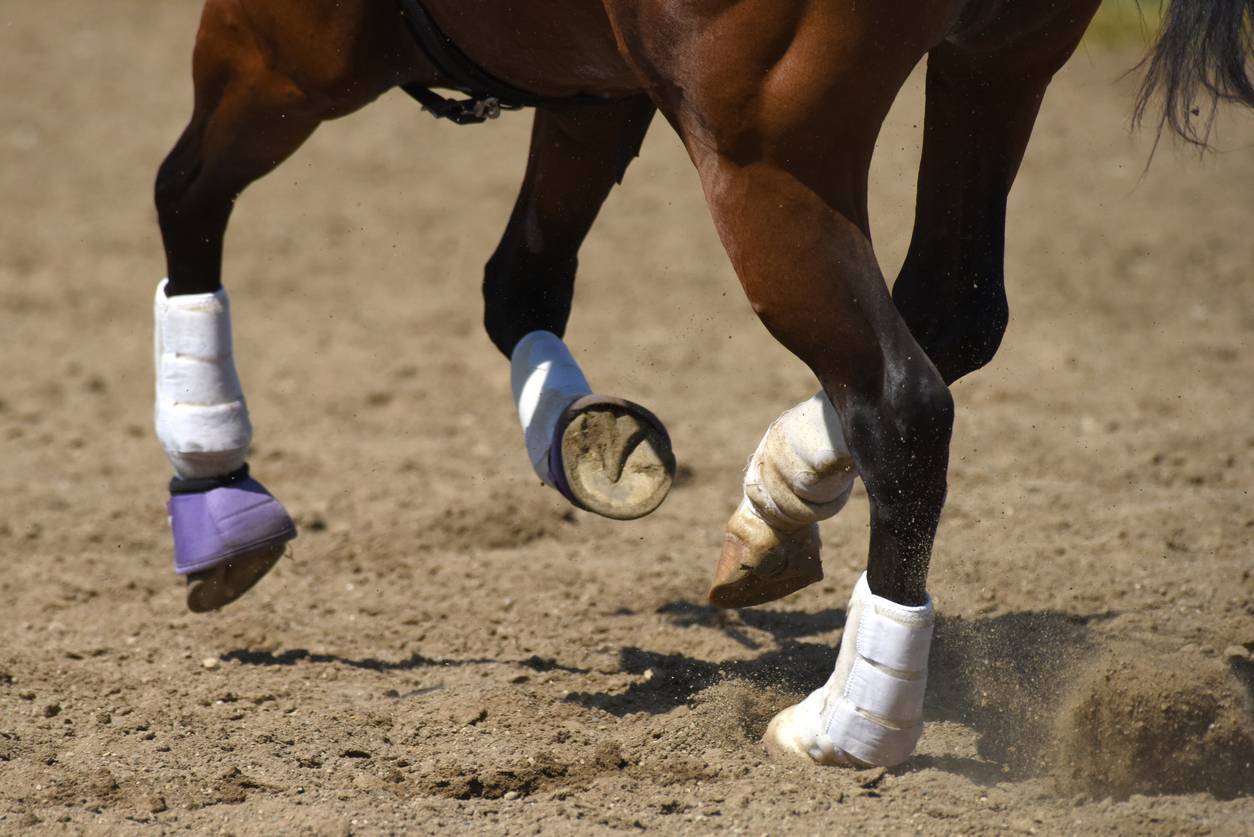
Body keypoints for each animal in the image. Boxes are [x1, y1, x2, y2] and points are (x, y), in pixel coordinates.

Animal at [149, 0, 1254, 767]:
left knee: (900, 398)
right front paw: (596, 443)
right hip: (997, 65)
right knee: (949, 317)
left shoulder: (277, 45)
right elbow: (520, 282)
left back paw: (853, 725)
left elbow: (183, 202)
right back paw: (778, 506)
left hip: (763, 150)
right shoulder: (592, 90)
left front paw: (213, 485)